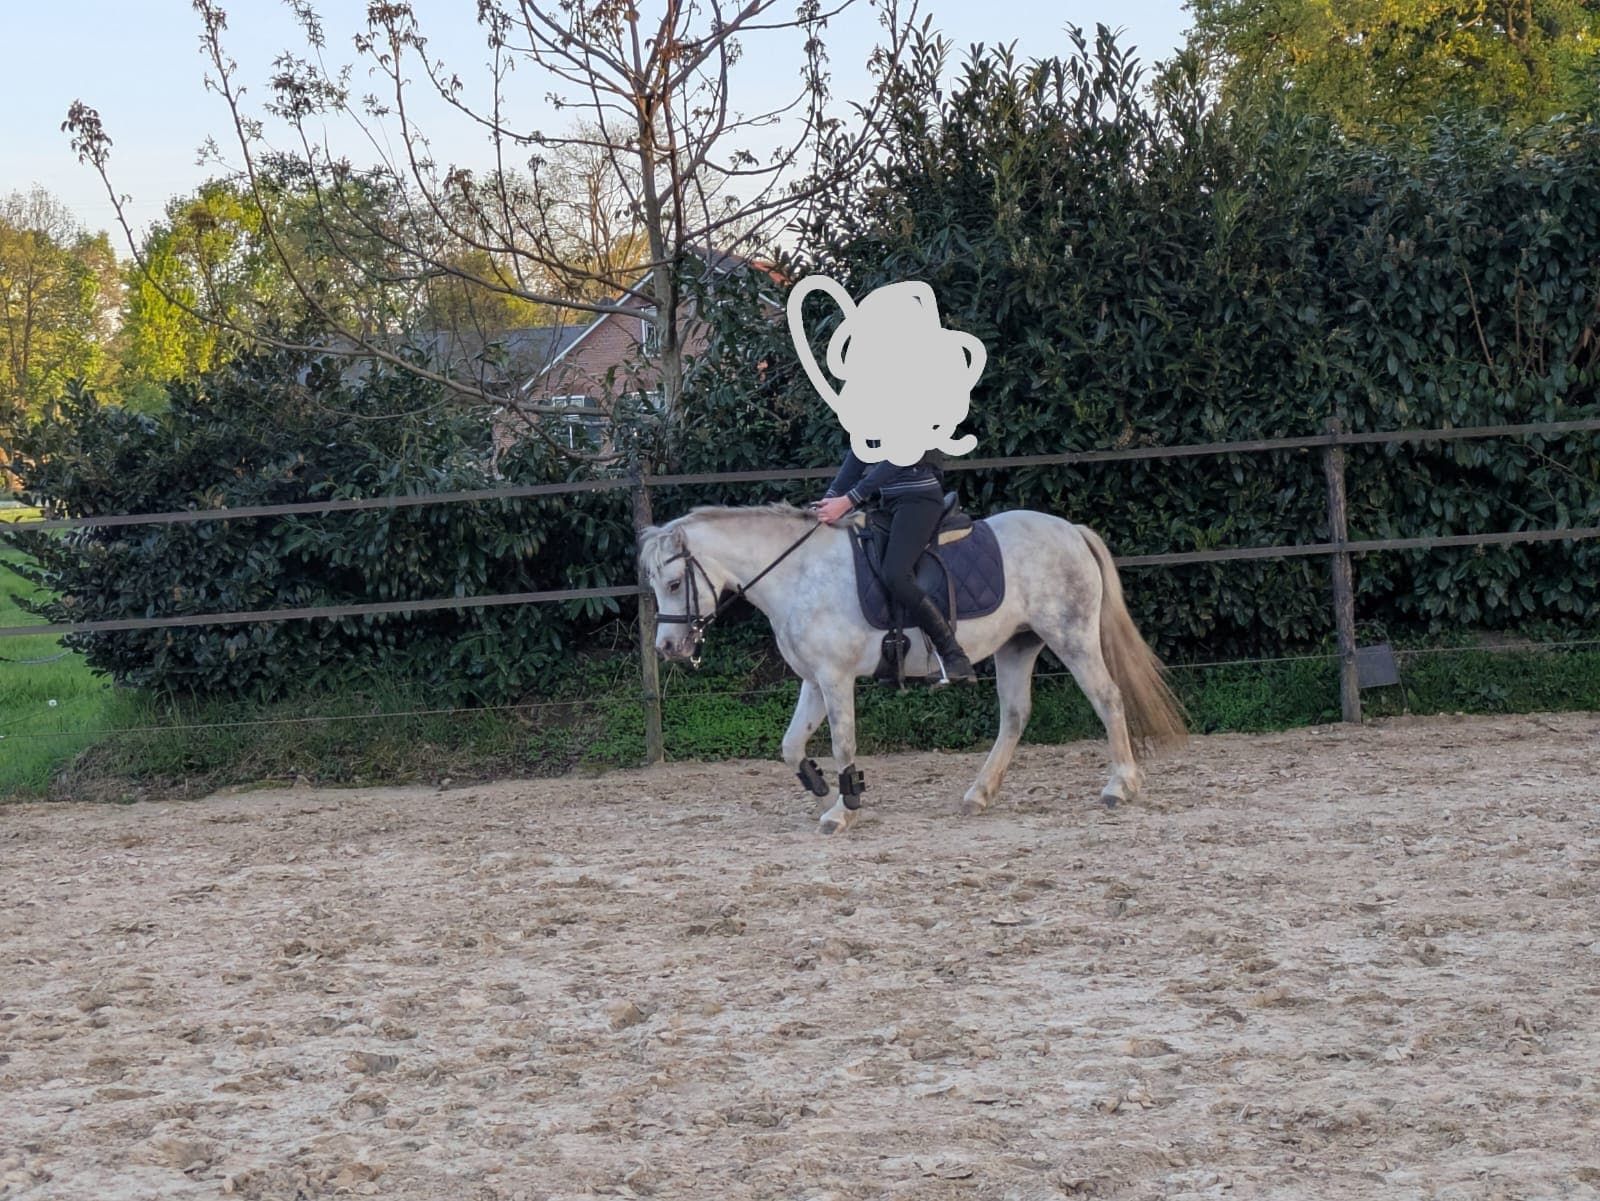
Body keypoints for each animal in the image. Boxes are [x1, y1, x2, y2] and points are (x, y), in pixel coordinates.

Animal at [638, 502, 1187, 834]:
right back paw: (978, 795)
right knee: (1014, 716)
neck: (799, 574)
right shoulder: (814, 680)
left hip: (1070, 636)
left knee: (1107, 698)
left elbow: (843, 743)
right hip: (1018, 646)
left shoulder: (835, 678)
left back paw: (1120, 786)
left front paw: (843, 809)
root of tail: (1070, 530)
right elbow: (791, 745)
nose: (668, 648)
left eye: (672, 582)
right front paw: (818, 784)